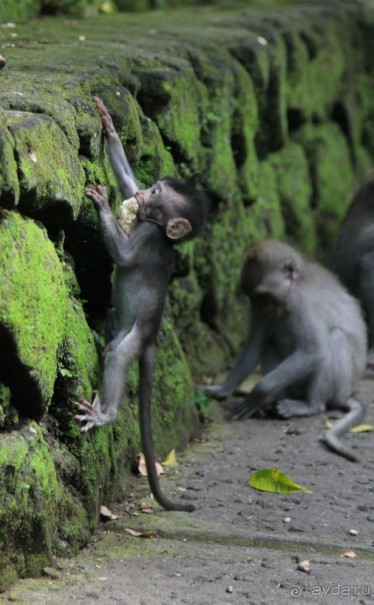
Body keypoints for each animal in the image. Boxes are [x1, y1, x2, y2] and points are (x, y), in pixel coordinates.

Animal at [76, 95, 209, 510]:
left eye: (155, 195)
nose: (143, 193)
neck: (158, 229)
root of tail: (150, 337)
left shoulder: (149, 236)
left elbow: (122, 257)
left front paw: (103, 203)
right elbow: (125, 175)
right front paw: (108, 125)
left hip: (136, 336)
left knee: (119, 356)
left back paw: (107, 414)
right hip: (121, 322)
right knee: (112, 327)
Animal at [205, 238, 366, 460]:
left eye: (264, 295)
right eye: (253, 298)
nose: (262, 309)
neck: (293, 286)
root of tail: (347, 394)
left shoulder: (300, 302)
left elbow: (314, 350)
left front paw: (257, 394)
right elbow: (255, 345)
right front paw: (224, 388)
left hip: (338, 387)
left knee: (335, 338)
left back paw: (309, 405)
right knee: (270, 344)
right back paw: (269, 404)